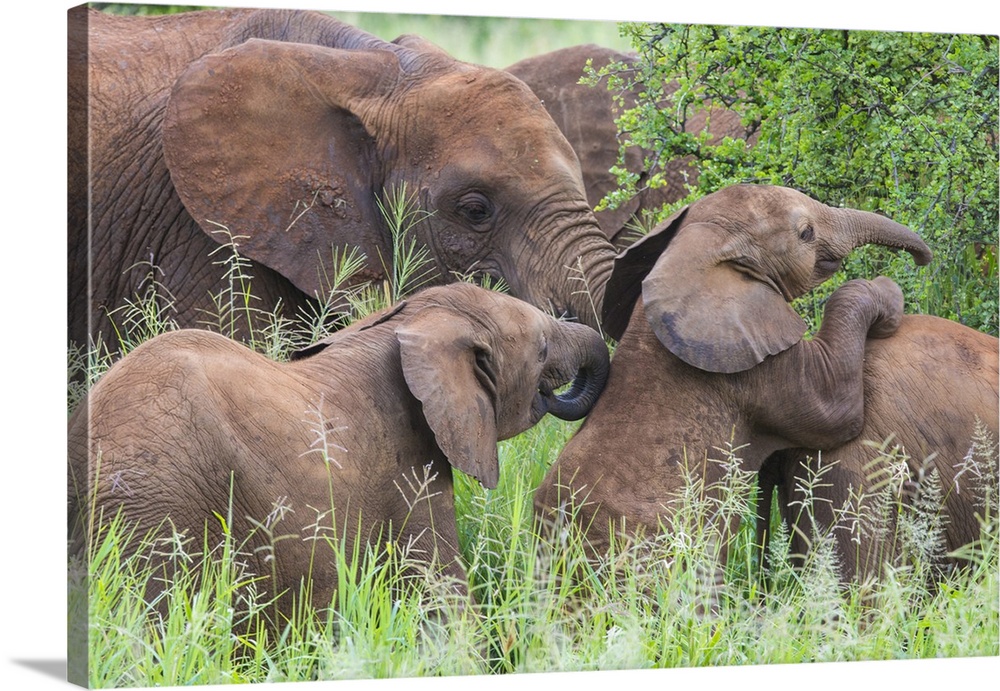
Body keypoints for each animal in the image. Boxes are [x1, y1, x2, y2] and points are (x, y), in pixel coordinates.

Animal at [532, 182, 992, 584]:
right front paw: (888, 297)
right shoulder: (759, 368)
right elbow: (837, 412)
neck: (692, 254)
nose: (923, 260)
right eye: (806, 233)